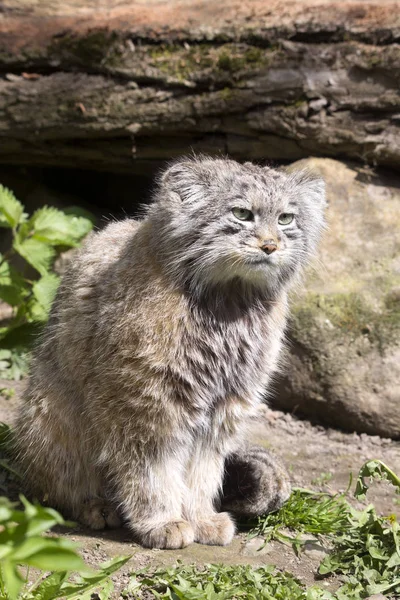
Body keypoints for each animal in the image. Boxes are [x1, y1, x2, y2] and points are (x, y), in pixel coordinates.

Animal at [16, 156, 324, 548]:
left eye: (286, 218)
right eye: (241, 213)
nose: (270, 245)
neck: (228, 307)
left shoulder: (224, 407)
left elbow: (202, 471)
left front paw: (199, 517)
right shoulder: (144, 403)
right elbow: (151, 470)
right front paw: (161, 520)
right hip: (50, 415)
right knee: (53, 487)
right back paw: (93, 504)